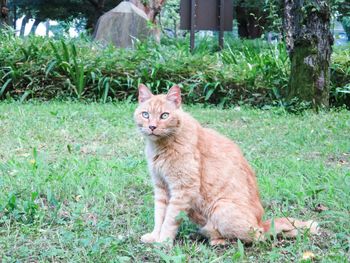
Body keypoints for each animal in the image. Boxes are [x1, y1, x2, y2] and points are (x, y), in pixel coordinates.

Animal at [135, 84, 320, 245]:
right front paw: (154, 236)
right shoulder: (161, 188)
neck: (160, 146)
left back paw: (219, 241)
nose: (152, 126)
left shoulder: (183, 189)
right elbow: (159, 216)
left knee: (257, 237)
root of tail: (261, 222)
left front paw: (163, 241)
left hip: (221, 208)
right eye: (145, 114)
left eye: (164, 115)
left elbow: (170, 220)